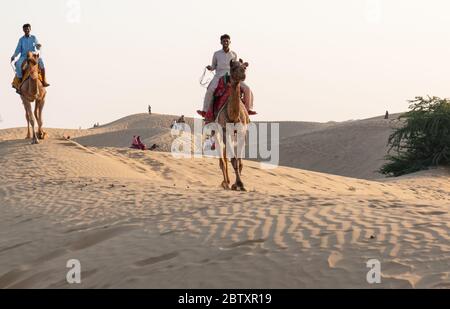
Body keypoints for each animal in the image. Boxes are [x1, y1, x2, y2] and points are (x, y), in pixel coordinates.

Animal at [214, 59, 250, 190]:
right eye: (233, 67)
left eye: (244, 67)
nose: (243, 75)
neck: (233, 116)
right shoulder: (225, 131)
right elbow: (233, 159)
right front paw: (239, 183)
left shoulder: (242, 132)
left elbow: (239, 160)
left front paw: (238, 184)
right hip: (216, 132)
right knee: (222, 159)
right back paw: (225, 182)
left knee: (225, 156)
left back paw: (228, 182)